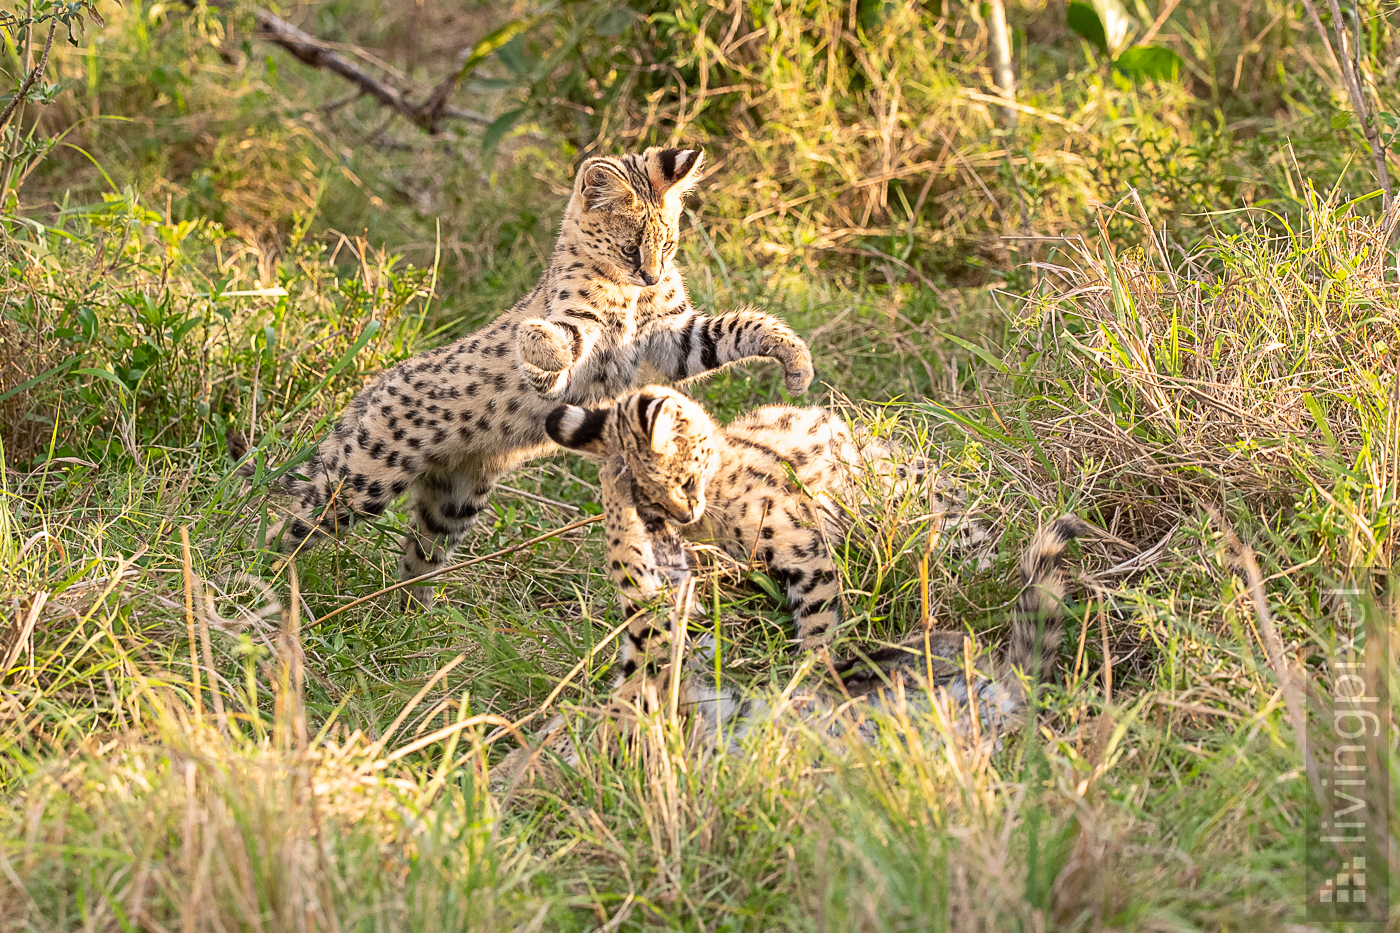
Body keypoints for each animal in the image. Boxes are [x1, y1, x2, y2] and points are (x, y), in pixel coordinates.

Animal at [226, 145, 812, 602]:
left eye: (667, 244)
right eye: (630, 247)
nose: (652, 273)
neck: (630, 294)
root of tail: (372, 390)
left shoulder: (673, 338)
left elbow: (736, 328)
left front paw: (797, 365)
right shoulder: (586, 323)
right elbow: (555, 337)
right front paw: (541, 368)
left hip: (453, 504)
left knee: (418, 556)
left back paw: (412, 615)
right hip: (361, 482)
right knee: (292, 524)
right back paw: (253, 578)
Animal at [540, 381, 991, 650]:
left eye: (684, 482)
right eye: (650, 505)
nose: (683, 517)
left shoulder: (805, 548)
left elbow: (817, 617)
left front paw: (813, 671)